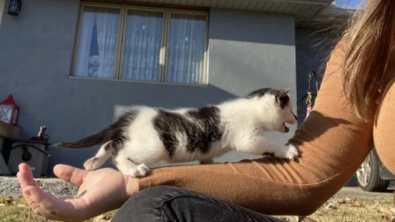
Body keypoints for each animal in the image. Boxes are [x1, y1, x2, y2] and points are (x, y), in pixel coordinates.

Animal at [53, 88, 300, 177]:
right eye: (290, 108)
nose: (297, 118)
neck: (252, 107)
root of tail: (129, 116)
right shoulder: (248, 137)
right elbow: (266, 143)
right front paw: (287, 150)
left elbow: (207, 156)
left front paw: (210, 163)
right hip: (153, 146)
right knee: (118, 151)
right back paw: (133, 170)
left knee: (110, 142)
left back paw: (92, 163)